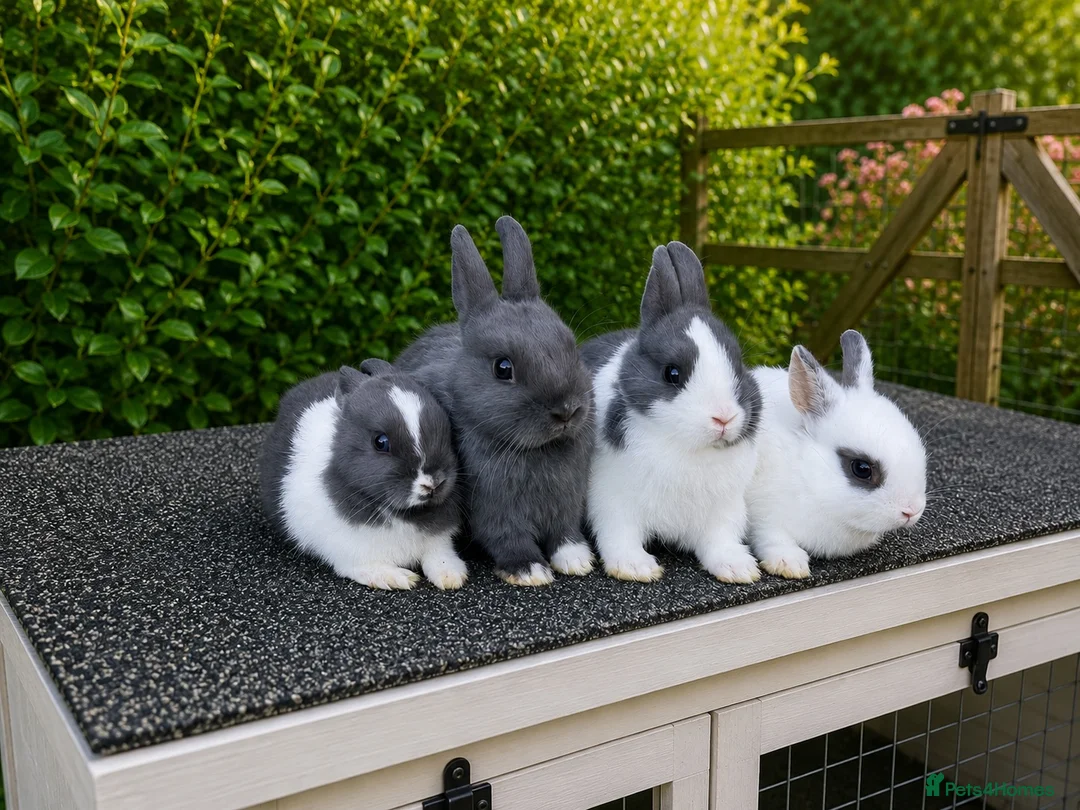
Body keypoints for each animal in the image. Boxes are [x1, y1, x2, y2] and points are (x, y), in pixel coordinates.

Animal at [259, 359, 468, 591]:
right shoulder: (353, 554)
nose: (433, 483)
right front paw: (399, 579)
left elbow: (439, 555)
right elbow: (370, 568)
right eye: (380, 442)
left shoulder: (438, 542)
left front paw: (452, 576)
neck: (403, 513)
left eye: (447, 429)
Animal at [395, 217, 596, 586]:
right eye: (503, 368)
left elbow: (565, 533)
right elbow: (507, 537)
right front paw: (530, 571)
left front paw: (576, 560)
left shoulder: (566, 503)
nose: (567, 411)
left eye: (571, 348)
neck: (538, 451)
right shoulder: (495, 510)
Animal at [581, 241, 763, 584]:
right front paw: (636, 568)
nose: (724, 417)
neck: (686, 447)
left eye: (738, 365)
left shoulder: (723, 511)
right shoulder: (613, 500)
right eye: (672, 373)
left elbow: (720, 542)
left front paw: (739, 569)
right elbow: (619, 535)